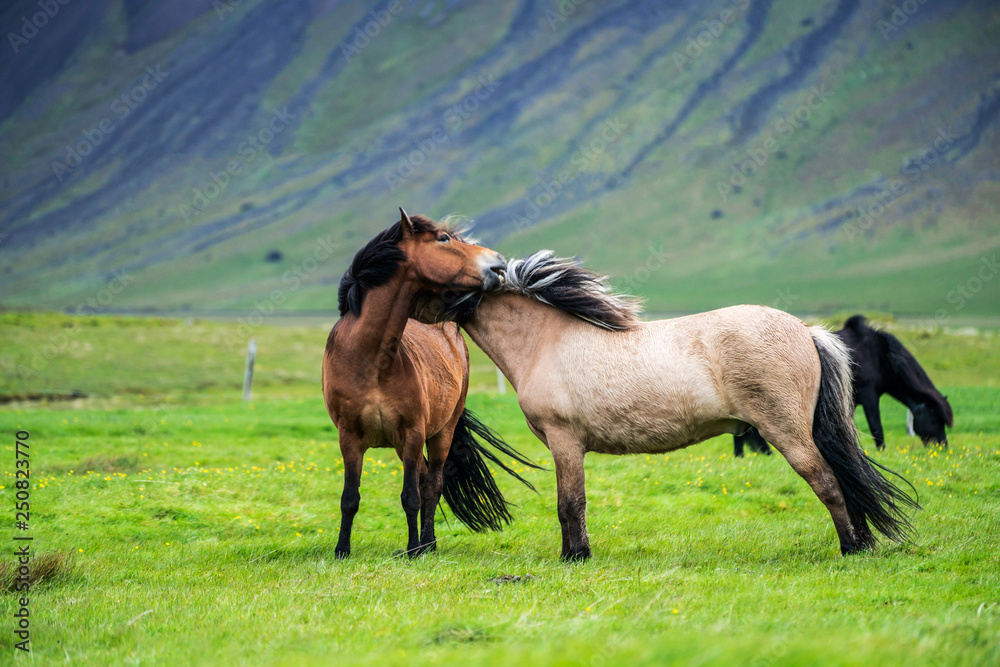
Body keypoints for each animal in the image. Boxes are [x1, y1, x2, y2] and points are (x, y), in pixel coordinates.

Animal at [322, 211, 540, 556]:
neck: (370, 362)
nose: (498, 263)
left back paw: (427, 544)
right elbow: (350, 498)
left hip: (441, 433)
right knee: (425, 479)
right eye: (443, 239)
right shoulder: (350, 437)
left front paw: (413, 548)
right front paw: (342, 550)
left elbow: (411, 496)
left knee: (432, 483)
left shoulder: (413, 433)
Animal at [416, 249, 920, 560]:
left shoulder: (564, 442)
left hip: (788, 432)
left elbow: (570, 503)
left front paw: (574, 557)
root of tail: (806, 330)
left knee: (828, 482)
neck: (545, 341)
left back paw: (851, 548)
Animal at [736, 316, 952, 456]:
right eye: (935, 419)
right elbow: (876, 427)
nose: (942, 447)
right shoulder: (869, 396)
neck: (879, 356)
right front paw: (881, 452)